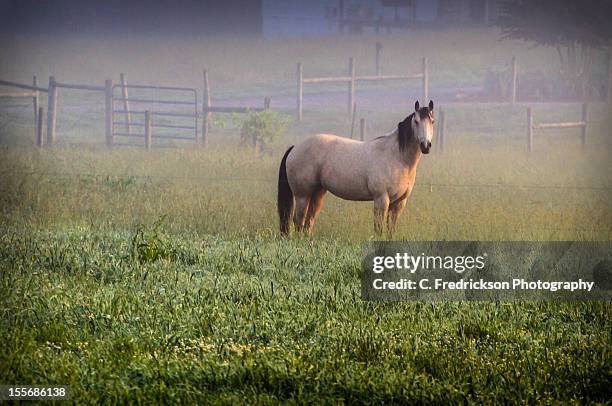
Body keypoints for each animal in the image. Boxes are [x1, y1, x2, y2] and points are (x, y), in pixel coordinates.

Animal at [278, 99, 436, 236]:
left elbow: (391, 229)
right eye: (416, 121)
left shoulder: (399, 203)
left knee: (308, 221)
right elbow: (378, 229)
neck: (397, 157)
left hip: (317, 193)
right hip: (302, 195)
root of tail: (295, 148)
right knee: (298, 221)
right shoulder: (381, 199)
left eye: (432, 121)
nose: (426, 146)